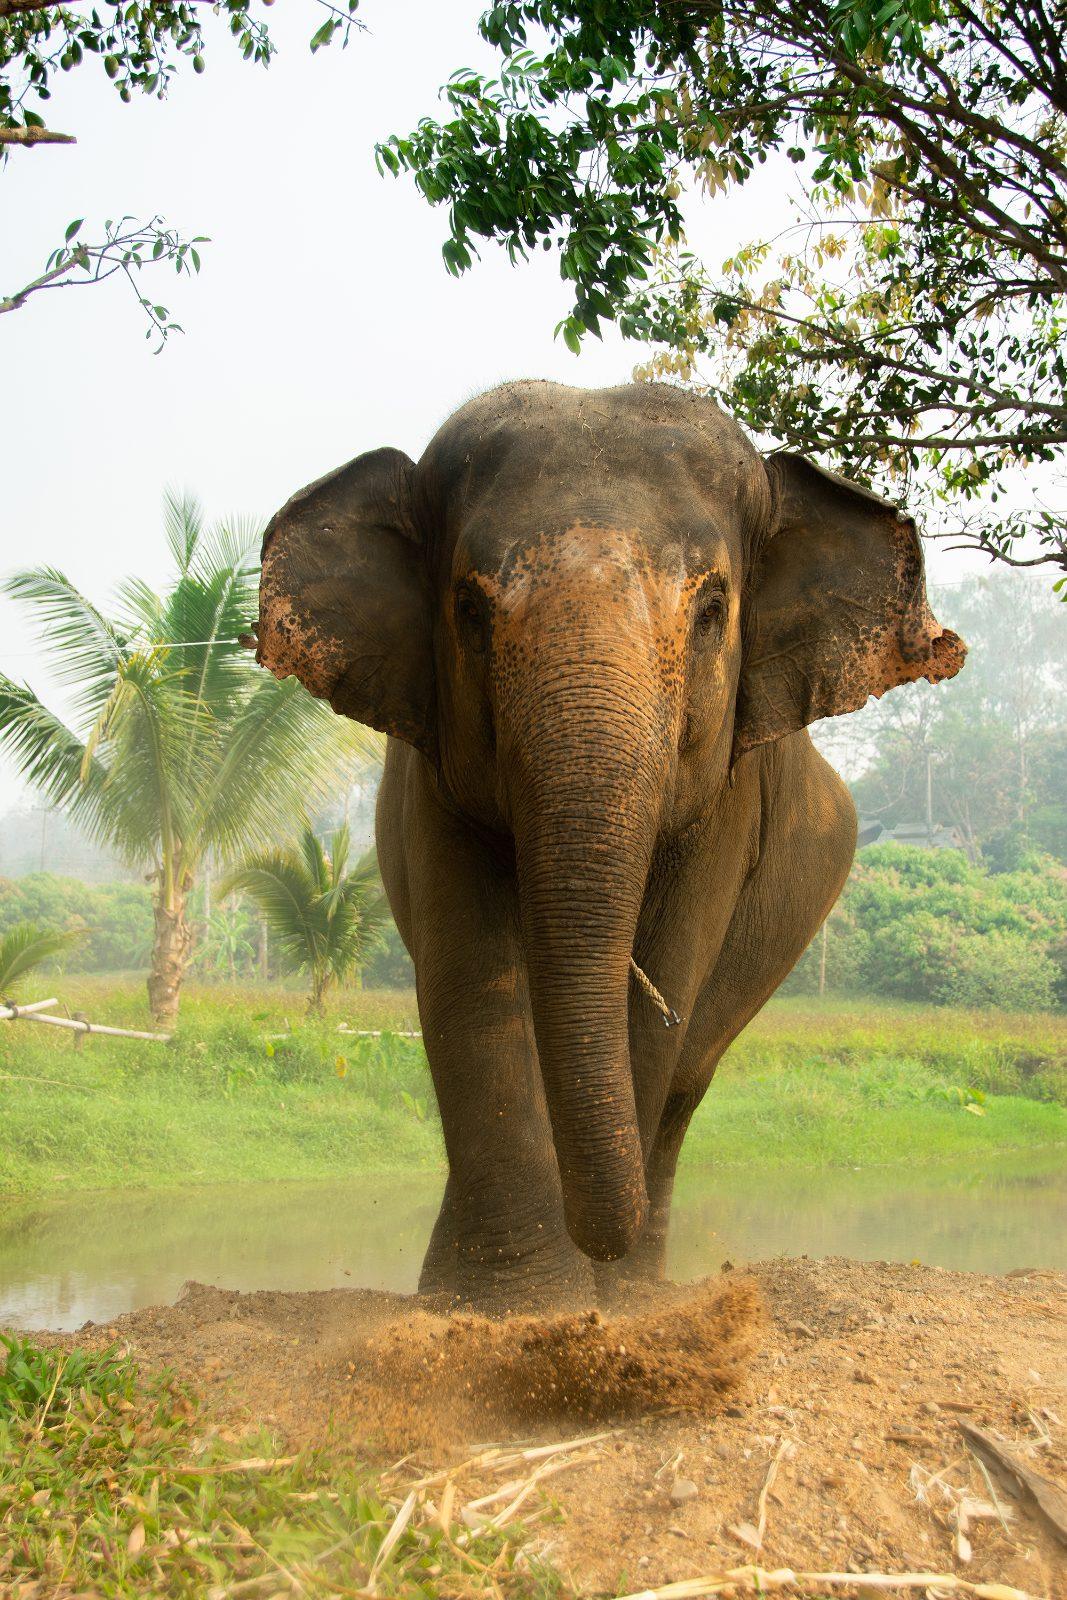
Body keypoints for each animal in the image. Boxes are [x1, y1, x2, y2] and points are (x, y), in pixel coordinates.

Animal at [256, 381, 965, 1311]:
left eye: (711, 611)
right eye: (468, 610)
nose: (591, 1242)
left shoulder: (723, 801)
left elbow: (659, 980)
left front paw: (591, 1305)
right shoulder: (433, 778)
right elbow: (472, 980)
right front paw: (512, 1306)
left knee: (686, 1081)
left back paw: (638, 1289)